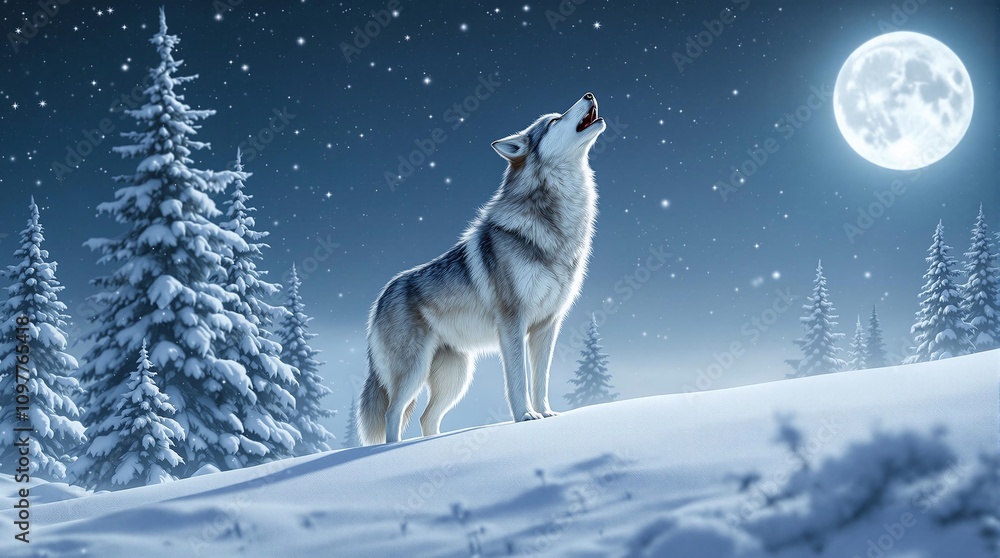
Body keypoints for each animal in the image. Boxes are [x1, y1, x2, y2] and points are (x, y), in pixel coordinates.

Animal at [359, 93, 606, 445]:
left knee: (425, 418)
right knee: (393, 414)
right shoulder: (512, 323)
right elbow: (518, 380)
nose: (589, 95)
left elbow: (540, 381)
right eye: (554, 121)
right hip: (415, 372)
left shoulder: (547, 326)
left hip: (456, 376)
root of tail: (381, 296)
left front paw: (546, 415)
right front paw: (525, 417)